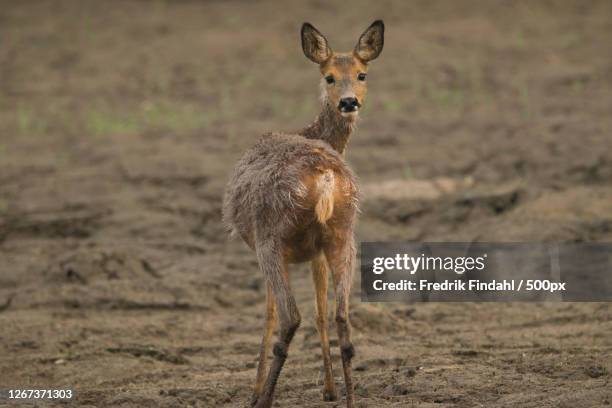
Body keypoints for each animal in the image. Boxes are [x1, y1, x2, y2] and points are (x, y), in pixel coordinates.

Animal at [221, 19, 382, 408]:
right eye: (329, 76)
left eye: (362, 74)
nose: (349, 102)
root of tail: (324, 177)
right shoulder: (316, 252)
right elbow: (321, 311)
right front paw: (328, 390)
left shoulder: (267, 245)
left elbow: (269, 313)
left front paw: (254, 391)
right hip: (343, 233)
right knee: (341, 318)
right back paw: (350, 400)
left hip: (271, 237)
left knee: (289, 317)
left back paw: (264, 399)